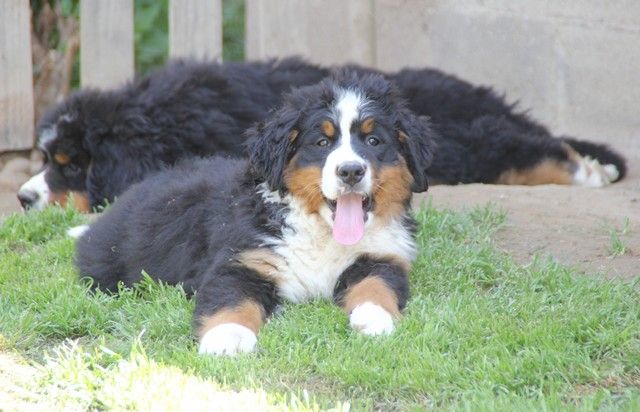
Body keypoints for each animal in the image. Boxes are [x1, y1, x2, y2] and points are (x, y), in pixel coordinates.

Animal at [19, 58, 626, 212]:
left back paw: (587, 171)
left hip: (464, 140)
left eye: (71, 164)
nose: (23, 198)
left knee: (518, 149)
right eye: (45, 158)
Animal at [75, 72, 433, 355]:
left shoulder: (383, 256)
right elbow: (232, 299)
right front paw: (227, 338)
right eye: (322, 142)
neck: (320, 231)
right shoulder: (241, 261)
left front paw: (374, 317)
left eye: (374, 140)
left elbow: (376, 285)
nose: (350, 171)